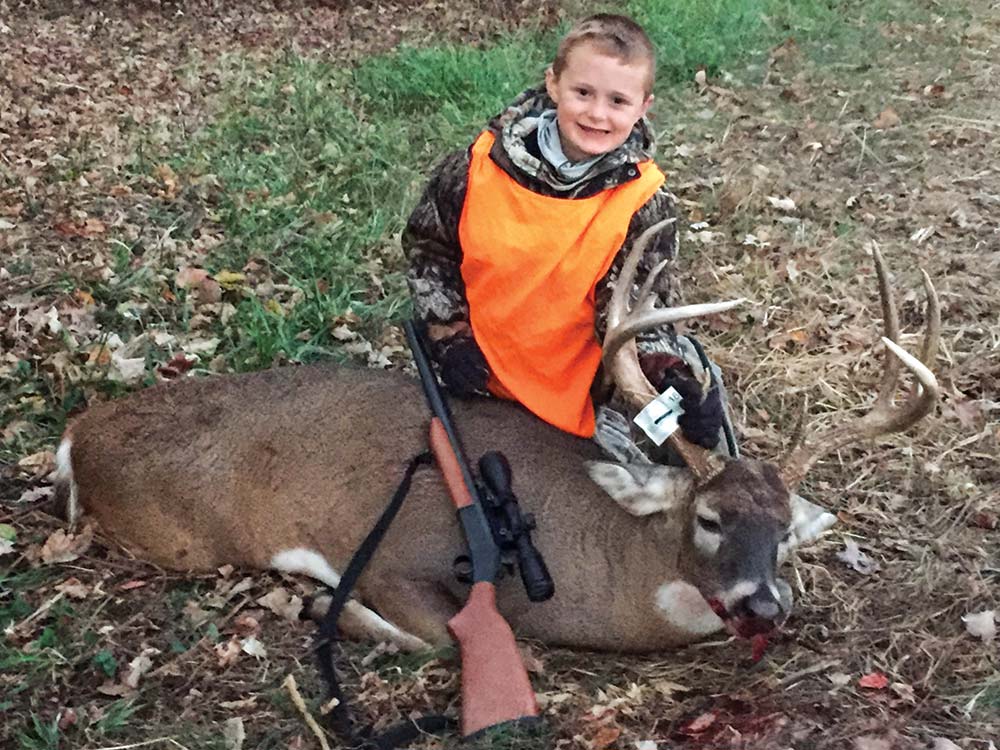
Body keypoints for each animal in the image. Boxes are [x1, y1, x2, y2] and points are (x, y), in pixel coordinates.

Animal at [55, 232, 939, 654]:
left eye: (786, 532)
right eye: (710, 517)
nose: (764, 604)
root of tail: (77, 432)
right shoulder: (393, 556)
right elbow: (470, 641)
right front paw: (333, 611)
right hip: (176, 537)